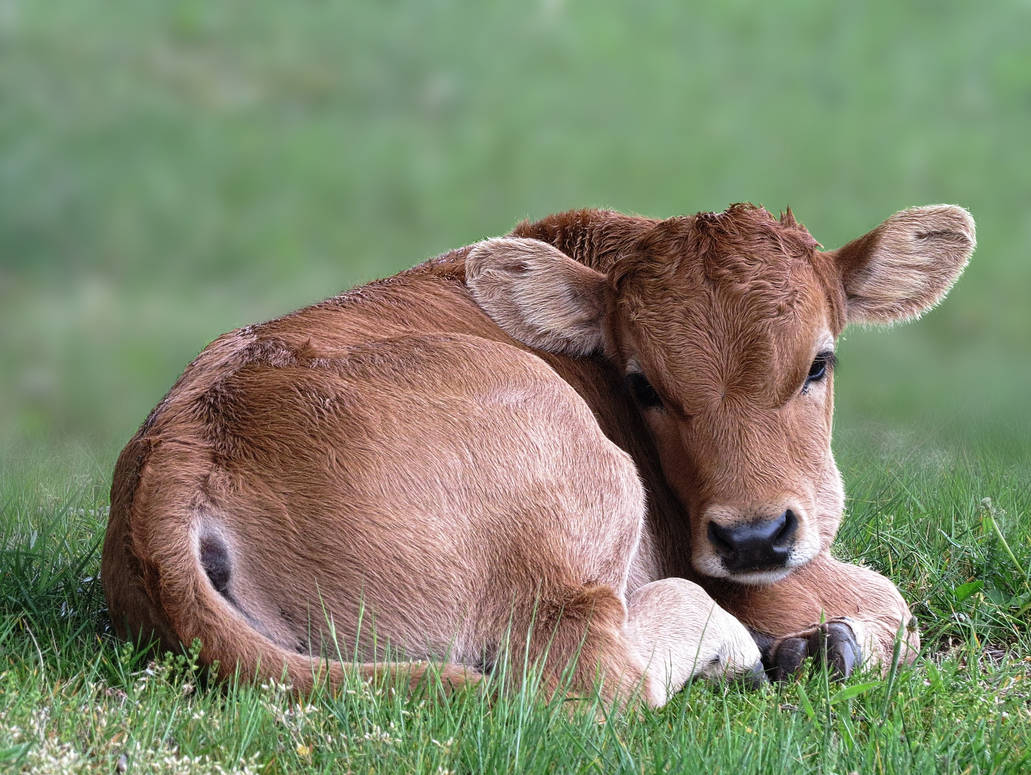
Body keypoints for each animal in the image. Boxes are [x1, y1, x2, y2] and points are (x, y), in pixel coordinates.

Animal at [101, 203, 974, 707]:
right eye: (642, 384)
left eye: (818, 363)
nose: (754, 539)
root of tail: (180, 446)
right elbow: (892, 604)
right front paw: (824, 639)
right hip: (573, 487)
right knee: (590, 673)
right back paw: (750, 648)